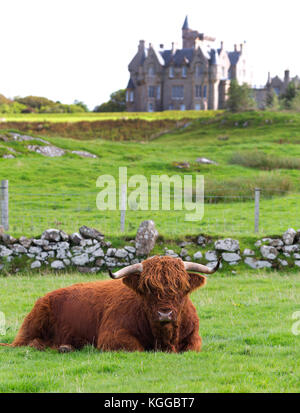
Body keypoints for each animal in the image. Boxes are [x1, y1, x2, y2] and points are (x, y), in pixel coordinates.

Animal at [0, 254, 220, 350]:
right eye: (148, 287)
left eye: (181, 286)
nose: (164, 313)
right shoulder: (111, 336)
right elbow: (137, 347)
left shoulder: (194, 337)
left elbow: (192, 346)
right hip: (33, 326)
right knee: (28, 344)